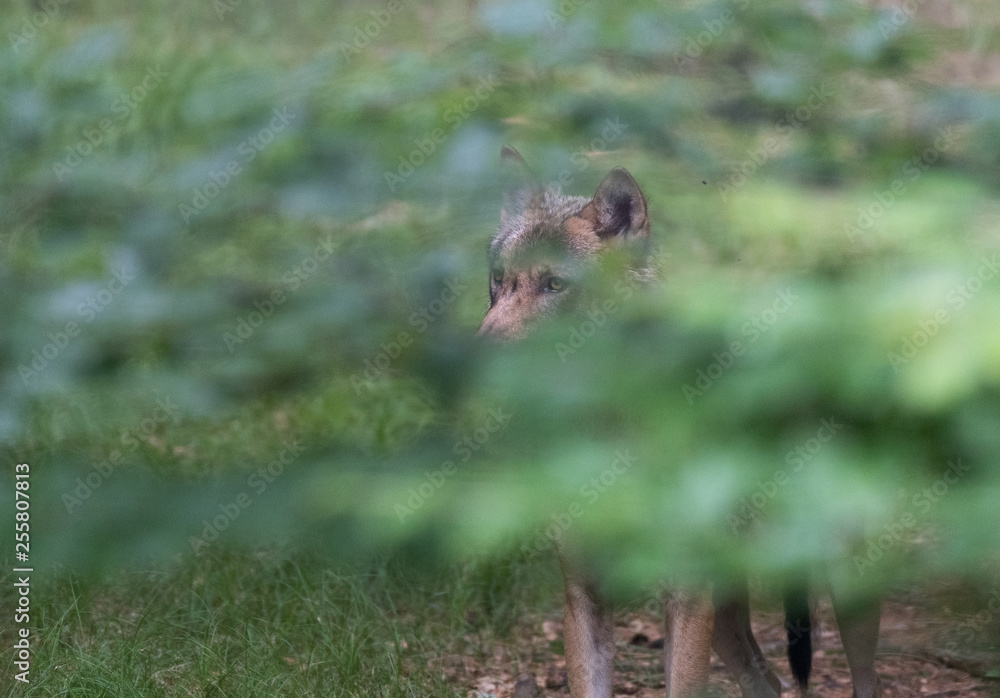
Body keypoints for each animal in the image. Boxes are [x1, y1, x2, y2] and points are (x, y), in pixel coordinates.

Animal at [472, 144, 880, 692]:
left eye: (555, 283)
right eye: (499, 279)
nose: (473, 358)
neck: (609, 428)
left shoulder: (686, 591)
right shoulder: (584, 594)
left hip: (842, 583)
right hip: (727, 611)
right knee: (768, 682)